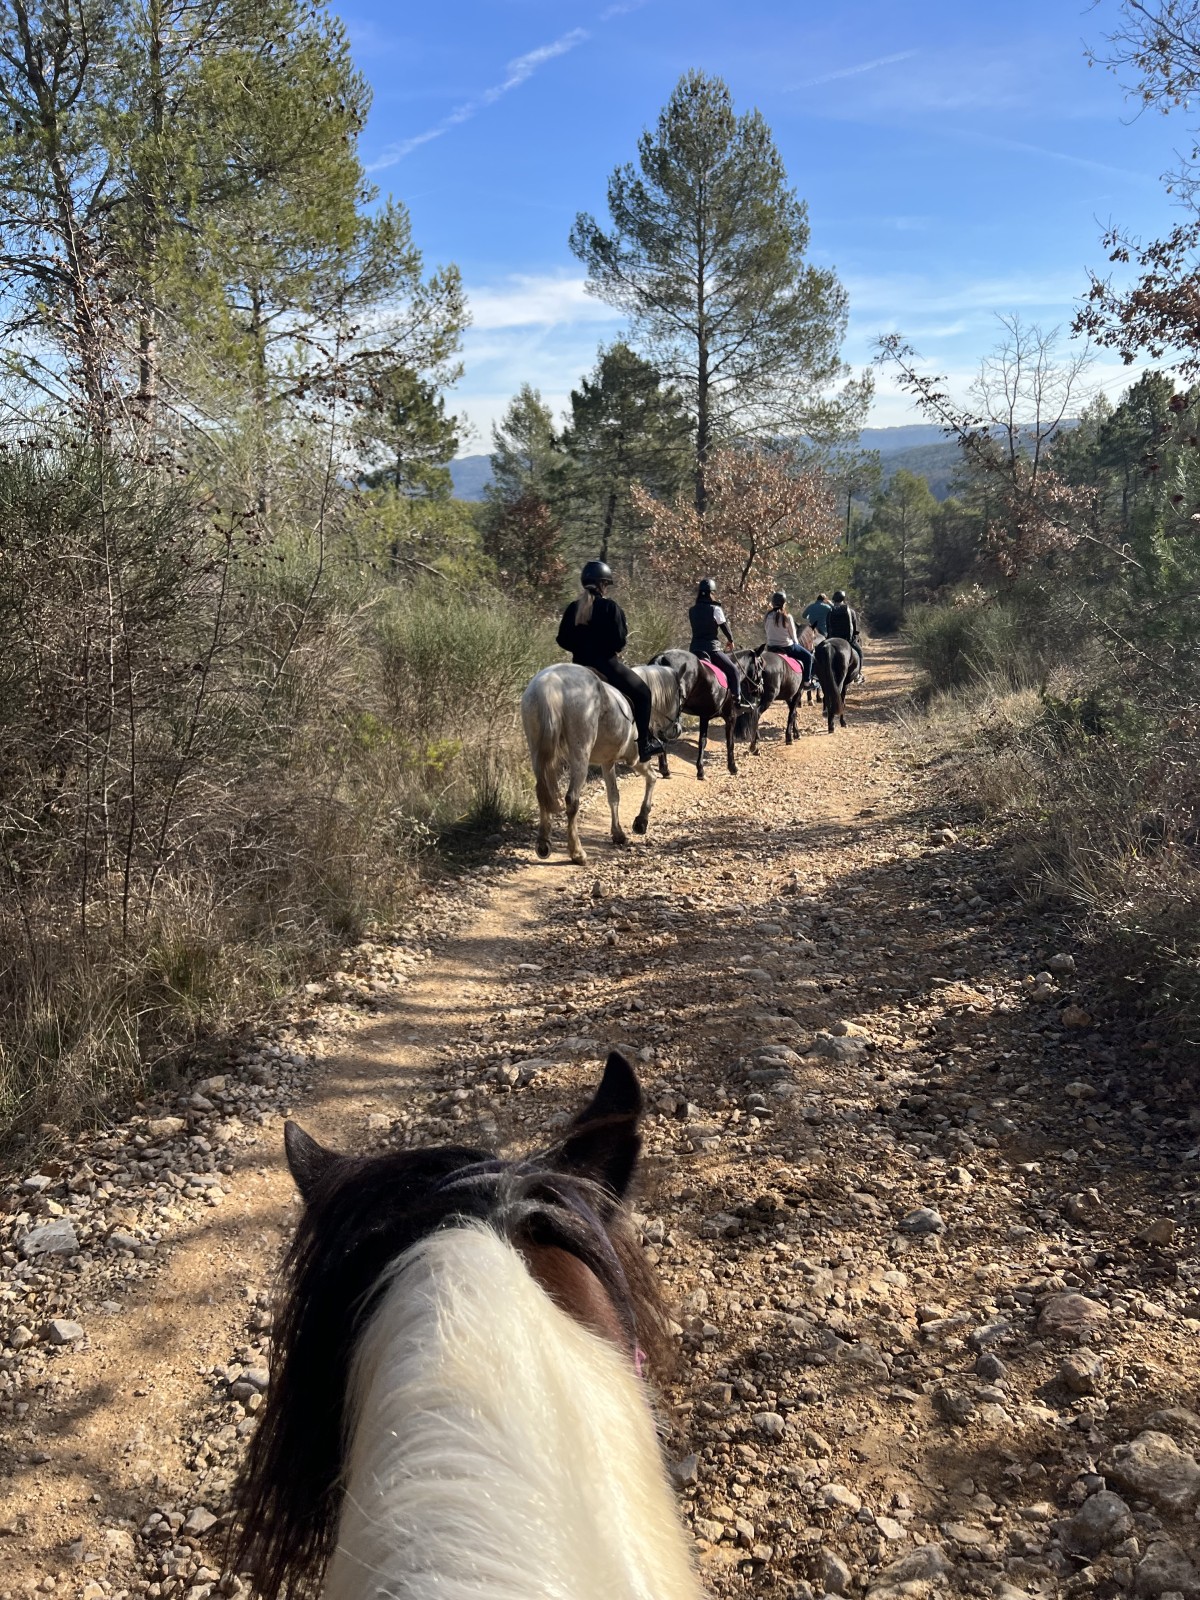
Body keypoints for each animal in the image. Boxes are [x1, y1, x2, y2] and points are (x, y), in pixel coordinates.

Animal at [520, 662, 684, 864]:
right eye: (681, 695)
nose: (677, 729)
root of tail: (550, 683)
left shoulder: (607, 761)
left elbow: (613, 796)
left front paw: (618, 833)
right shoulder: (635, 759)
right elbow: (651, 779)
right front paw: (641, 821)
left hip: (538, 752)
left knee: (542, 793)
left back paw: (543, 843)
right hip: (580, 755)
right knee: (571, 799)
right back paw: (577, 853)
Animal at [650, 646, 766, 780]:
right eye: (761, 666)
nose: (760, 690)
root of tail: (661, 658)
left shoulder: (704, 716)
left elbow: (703, 741)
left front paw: (700, 770)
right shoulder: (731, 716)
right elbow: (730, 742)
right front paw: (733, 766)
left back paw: (664, 770)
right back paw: (664, 769)